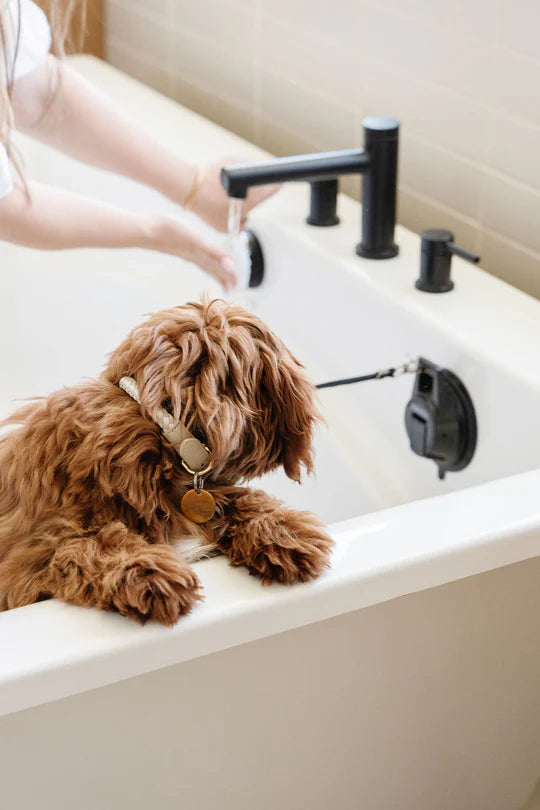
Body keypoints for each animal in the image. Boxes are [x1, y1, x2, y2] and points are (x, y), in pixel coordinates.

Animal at [0, 300, 334, 620]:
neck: (161, 427)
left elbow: (236, 500)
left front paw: (283, 532)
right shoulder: (30, 555)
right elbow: (92, 542)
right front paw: (148, 574)